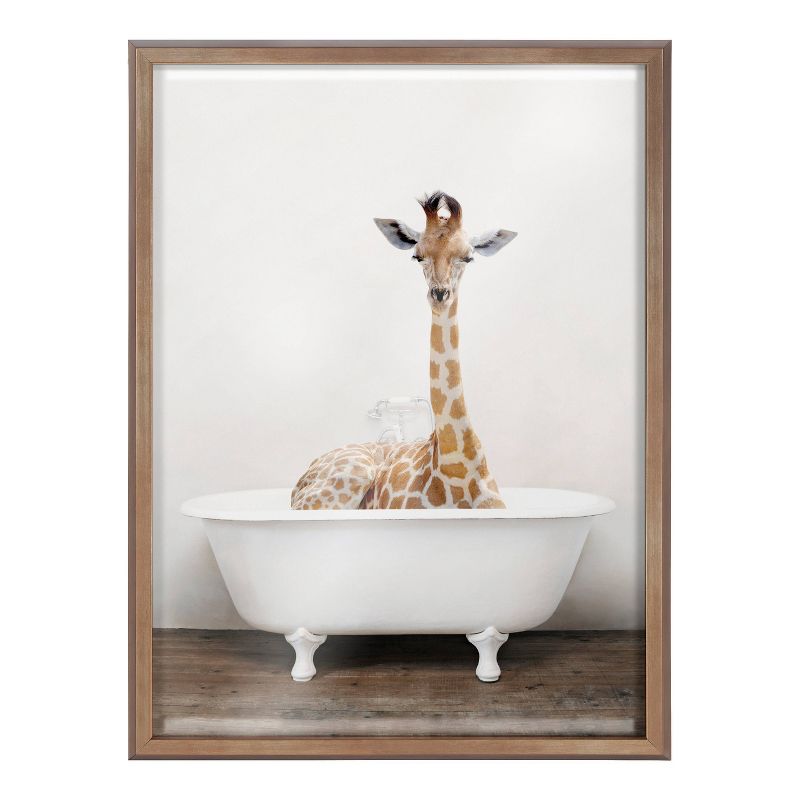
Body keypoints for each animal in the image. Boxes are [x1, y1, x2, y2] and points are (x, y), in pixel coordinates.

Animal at [291, 191, 517, 511]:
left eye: (468, 256)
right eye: (417, 255)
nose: (439, 294)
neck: (458, 467)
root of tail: (298, 482)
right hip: (345, 479)